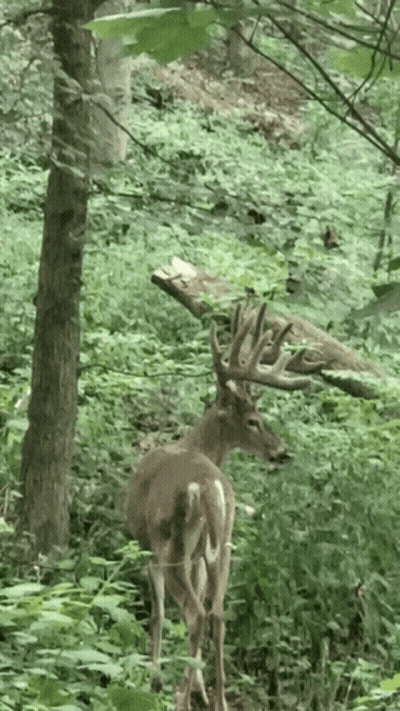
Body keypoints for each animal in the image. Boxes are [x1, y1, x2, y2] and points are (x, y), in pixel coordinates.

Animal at [126, 303, 325, 711]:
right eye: (254, 421)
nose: (282, 451)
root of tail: (210, 486)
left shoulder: (146, 547)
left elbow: (157, 613)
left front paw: (154, 678)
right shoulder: (204, 556)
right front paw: (200, 685)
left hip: (173, 544)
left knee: (196, 614)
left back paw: (179, 696)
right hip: (225, 544)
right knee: (217, 614)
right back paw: (216, 699)